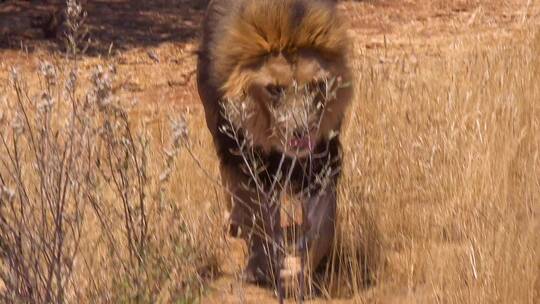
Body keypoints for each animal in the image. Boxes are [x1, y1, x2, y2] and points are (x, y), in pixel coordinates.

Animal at [196, 0, 352, 288]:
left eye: (316, 85)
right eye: (275, 89)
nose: (302, 132)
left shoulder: (321, 161)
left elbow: (324, 226)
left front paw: (300, 268)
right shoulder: (249, 163)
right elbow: (260, 222)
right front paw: (260, 269)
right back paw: (234, 222)